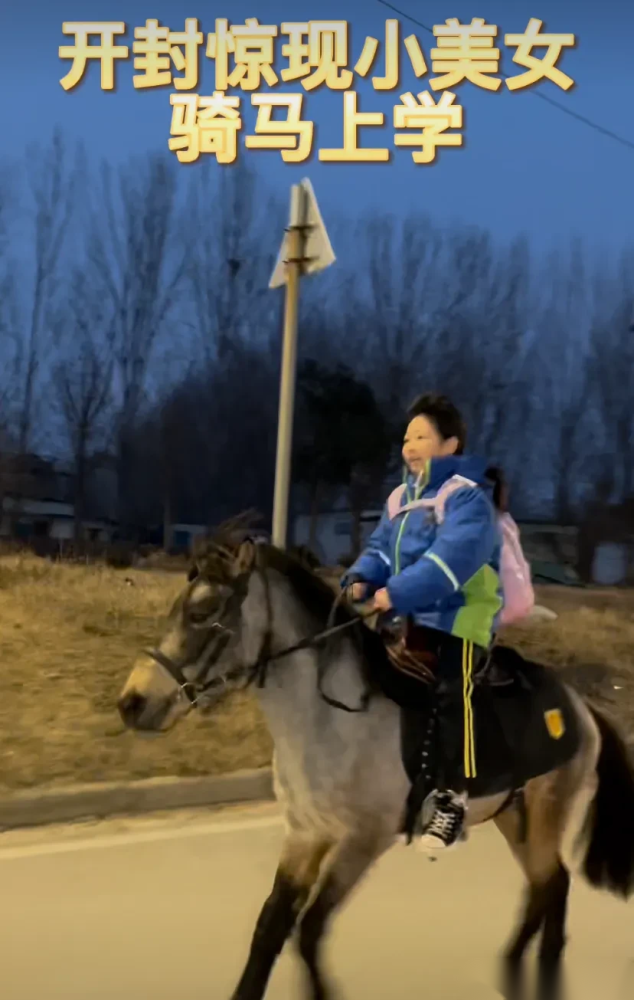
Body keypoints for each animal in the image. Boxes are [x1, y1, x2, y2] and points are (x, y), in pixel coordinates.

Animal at [116, 524, 632, 1000]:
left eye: (201, 613)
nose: (132, 703)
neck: (330, 720)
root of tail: (584, 710)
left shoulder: (362, 841)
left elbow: (309, 932)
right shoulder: (305, 833)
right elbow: (270, 928)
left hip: (547, 813)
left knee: (555, 885)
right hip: (514, 817)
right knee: (543, 886)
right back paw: (508, 968)